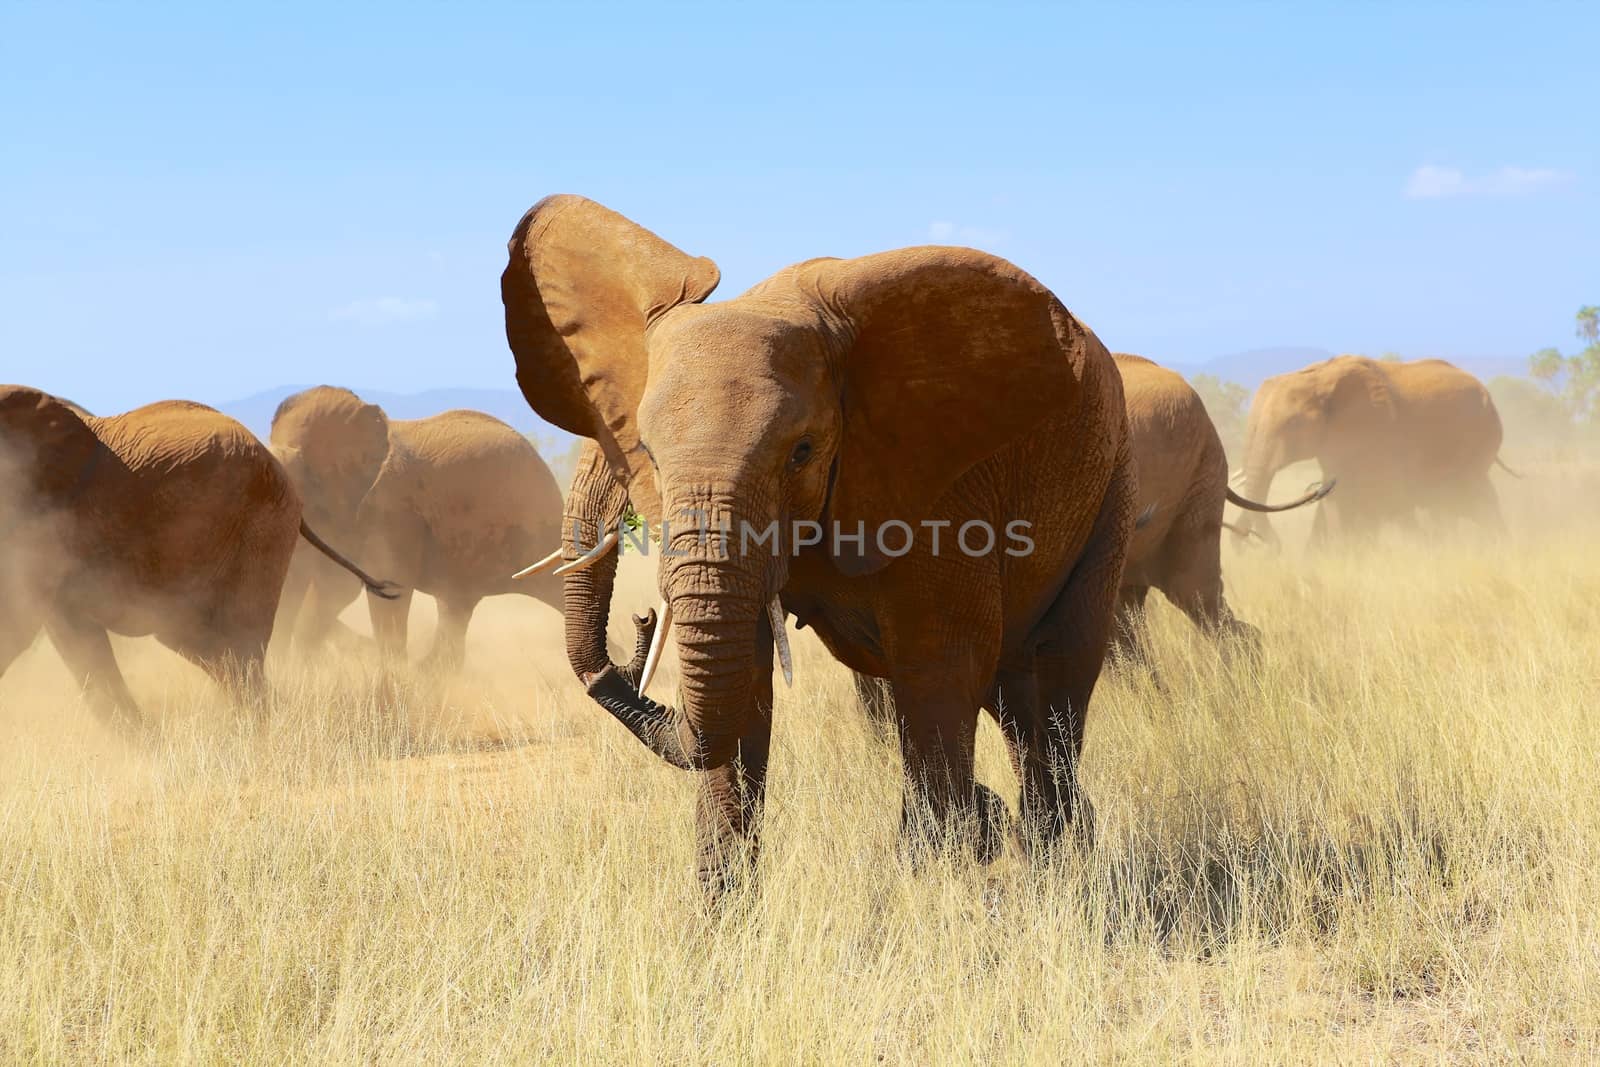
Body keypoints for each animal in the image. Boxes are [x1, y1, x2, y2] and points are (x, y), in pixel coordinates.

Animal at [499, 191, 1139, 895]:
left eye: (801, 453)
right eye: (650, 456)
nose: (640, 622)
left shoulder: (943, 484)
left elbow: (940, 664)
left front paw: (930, 886)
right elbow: (743, 680)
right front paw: (720, 915)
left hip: (1110, 487)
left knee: (1059, 674)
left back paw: (1055, 863)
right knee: (1014, 695)